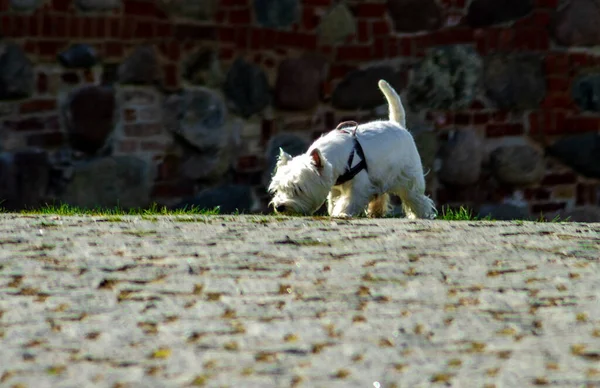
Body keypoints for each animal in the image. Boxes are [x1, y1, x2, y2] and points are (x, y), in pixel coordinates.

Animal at [270, 79, 434, 218]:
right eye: (279, 188)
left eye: (298, 188)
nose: (279, 207)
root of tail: (398, 125)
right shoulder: (335, 187)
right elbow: (334, 200)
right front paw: (334, 210)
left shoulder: (359, 184)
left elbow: (350, 200)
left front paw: (342, 213)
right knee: (380, 195)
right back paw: (376, 212)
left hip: (409, 175)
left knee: (415, 196)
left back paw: (422, 214)